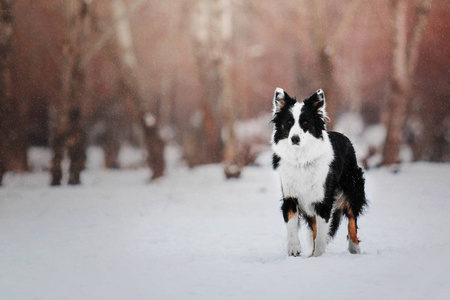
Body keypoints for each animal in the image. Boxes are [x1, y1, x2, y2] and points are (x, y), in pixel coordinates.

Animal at [268, 88, 368, 256]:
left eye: (305, 123)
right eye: (288, 123)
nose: (295, 139)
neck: (301, 160)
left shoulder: (323, 201)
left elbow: (321, 235)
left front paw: (319, 256)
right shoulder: (291, 197)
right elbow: (292, 227)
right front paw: (294, 249)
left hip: (353, 187)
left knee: (352, 218)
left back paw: (354, 248)